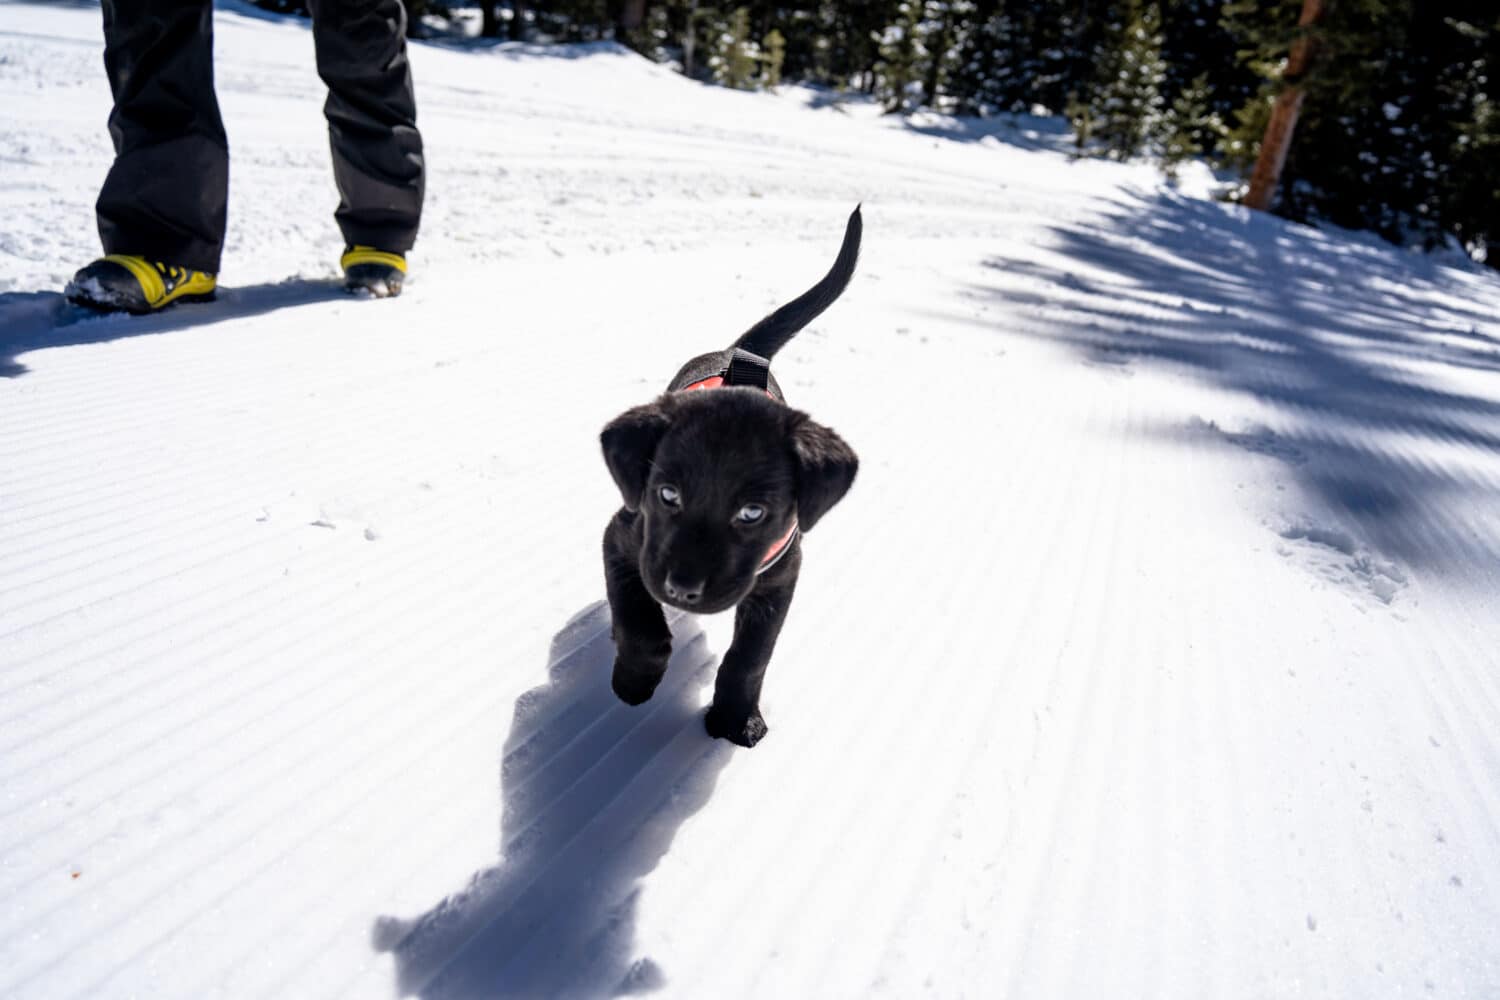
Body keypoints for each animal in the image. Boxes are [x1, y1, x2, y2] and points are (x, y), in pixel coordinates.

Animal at [594, 206, 858, 746]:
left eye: (752, 513)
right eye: (667, 494)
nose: (681, 590)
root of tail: (738, 352)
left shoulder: (782, 575)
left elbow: (750, 656)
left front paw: (737, 717)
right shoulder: (622, 535)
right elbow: (639, 622)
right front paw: (633, 681)